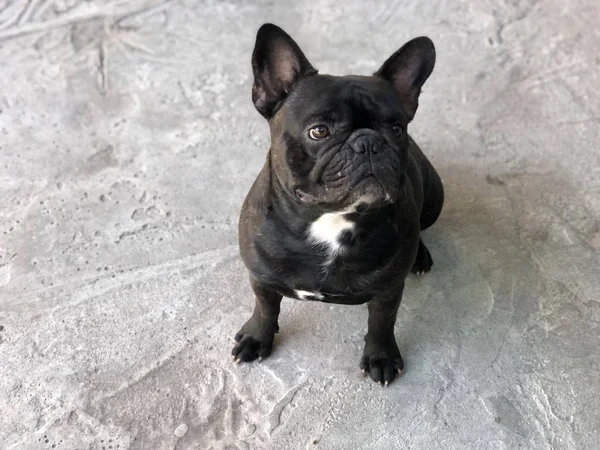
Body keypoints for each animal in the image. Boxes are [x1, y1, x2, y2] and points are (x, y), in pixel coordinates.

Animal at [234, 22, 446, 384]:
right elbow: (265, 307)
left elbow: (381, 323)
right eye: (319, 131)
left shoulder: (388, 290)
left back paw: (420, 255)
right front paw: (255, 337)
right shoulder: (260, 277)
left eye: (396, 128)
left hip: (435, 196)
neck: (332, 219)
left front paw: (380, 357)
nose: (369, 142)